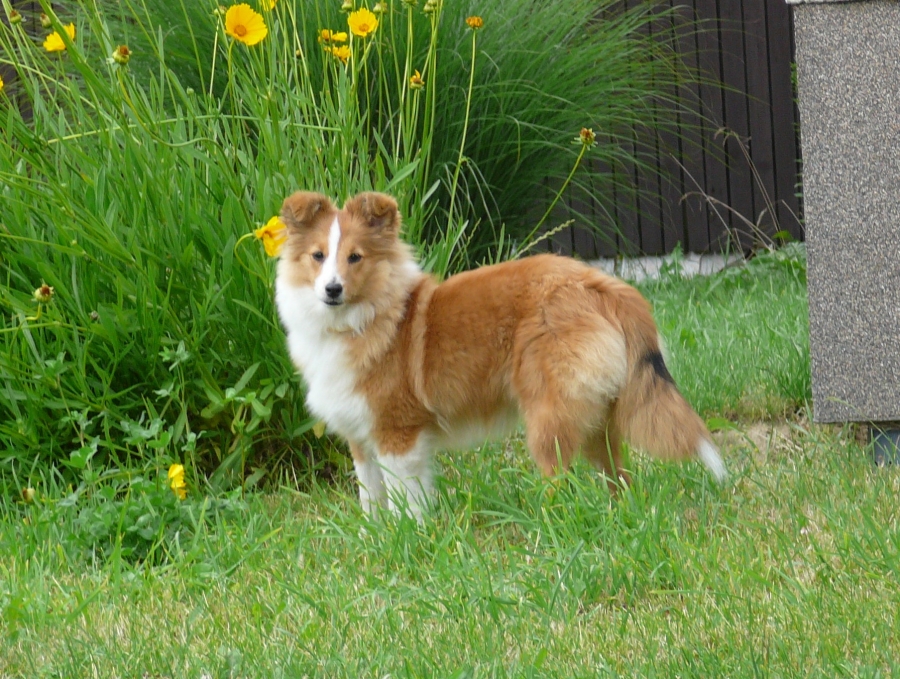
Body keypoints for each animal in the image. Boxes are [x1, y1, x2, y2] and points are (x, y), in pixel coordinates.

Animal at [275, 190, 726, 517]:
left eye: (356, 257)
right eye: (318, 256)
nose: (332, 289)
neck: (361, 318)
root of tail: (600, 284)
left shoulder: (398, 435)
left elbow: (409, 499)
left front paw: (413, 536)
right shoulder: (361, 439)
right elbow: (371, 497)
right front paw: (378, 537)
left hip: (549, 418)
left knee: (559, 481)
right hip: (597, 417)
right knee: (619, 477)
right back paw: (624, 516)